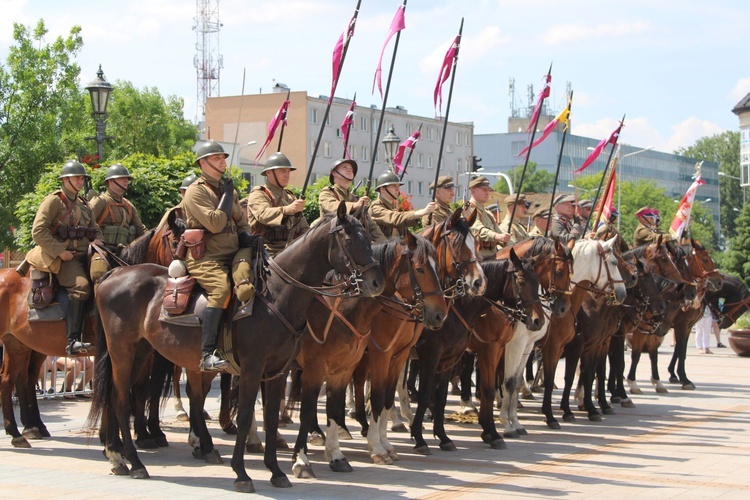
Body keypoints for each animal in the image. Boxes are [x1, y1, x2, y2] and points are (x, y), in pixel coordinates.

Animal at [86, 203, 388, 492]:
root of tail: (115, 272)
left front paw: (276, 471)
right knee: (122, 399)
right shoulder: (253, 369)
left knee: (118, 396)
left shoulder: (278, 372)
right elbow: (244, 416)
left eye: (367, 237)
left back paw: (119, 458)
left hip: (142, 352)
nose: (376, 282)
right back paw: (135, 462)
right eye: (350, 239)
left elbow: (270, 418)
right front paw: (242, 473)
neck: (276, 295)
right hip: (122, 351)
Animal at [290, 230, 446, 476]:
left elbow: (386, 398)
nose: (440, 314)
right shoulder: (379, 355)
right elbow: (378, 396)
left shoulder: (397, 357)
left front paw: (384, 443)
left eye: (437, 267)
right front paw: (378, 447)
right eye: (420, 269)